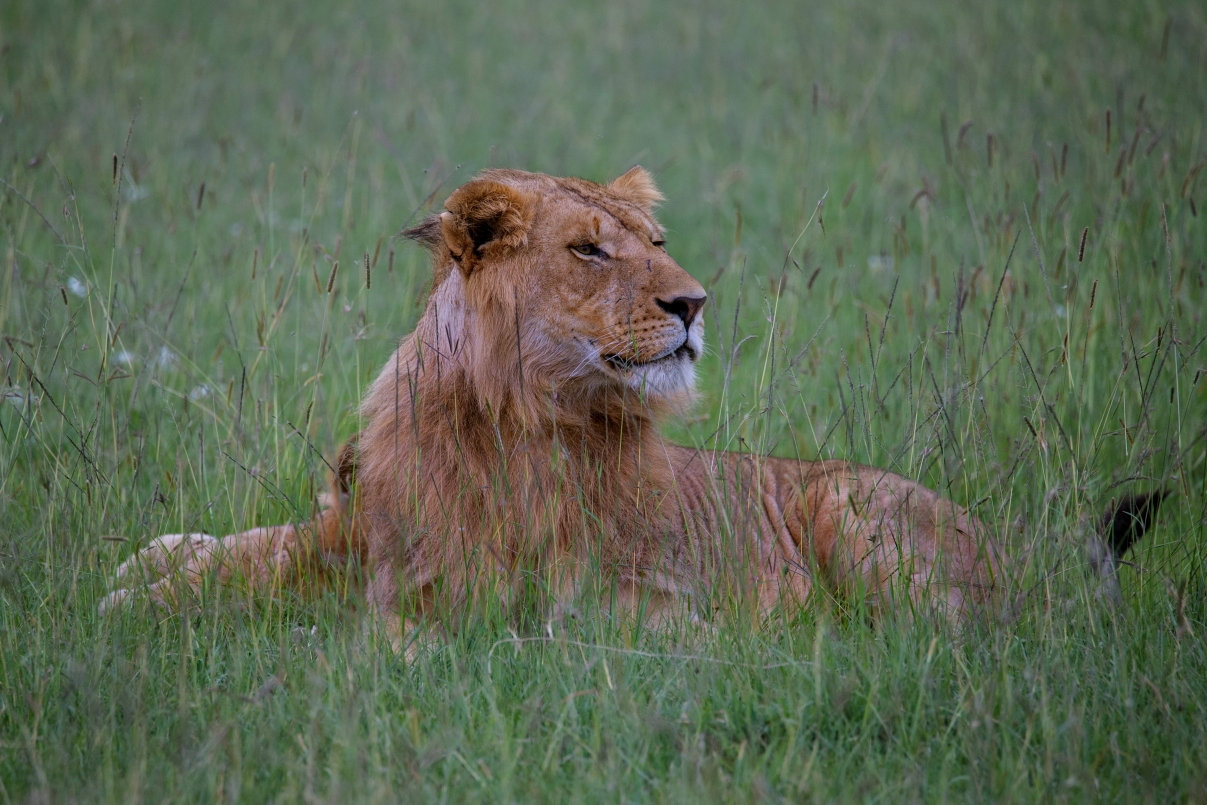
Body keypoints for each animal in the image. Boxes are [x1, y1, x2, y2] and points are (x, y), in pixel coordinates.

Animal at [106, 166, 1168, 637]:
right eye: (588, 248)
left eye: (654, 244)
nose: (693, 302)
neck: (506, 414)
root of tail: (1018, 559)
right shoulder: (362, 528)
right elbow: (262, 548)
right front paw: (148, 576)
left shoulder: (575, 587)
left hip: (850, 508)